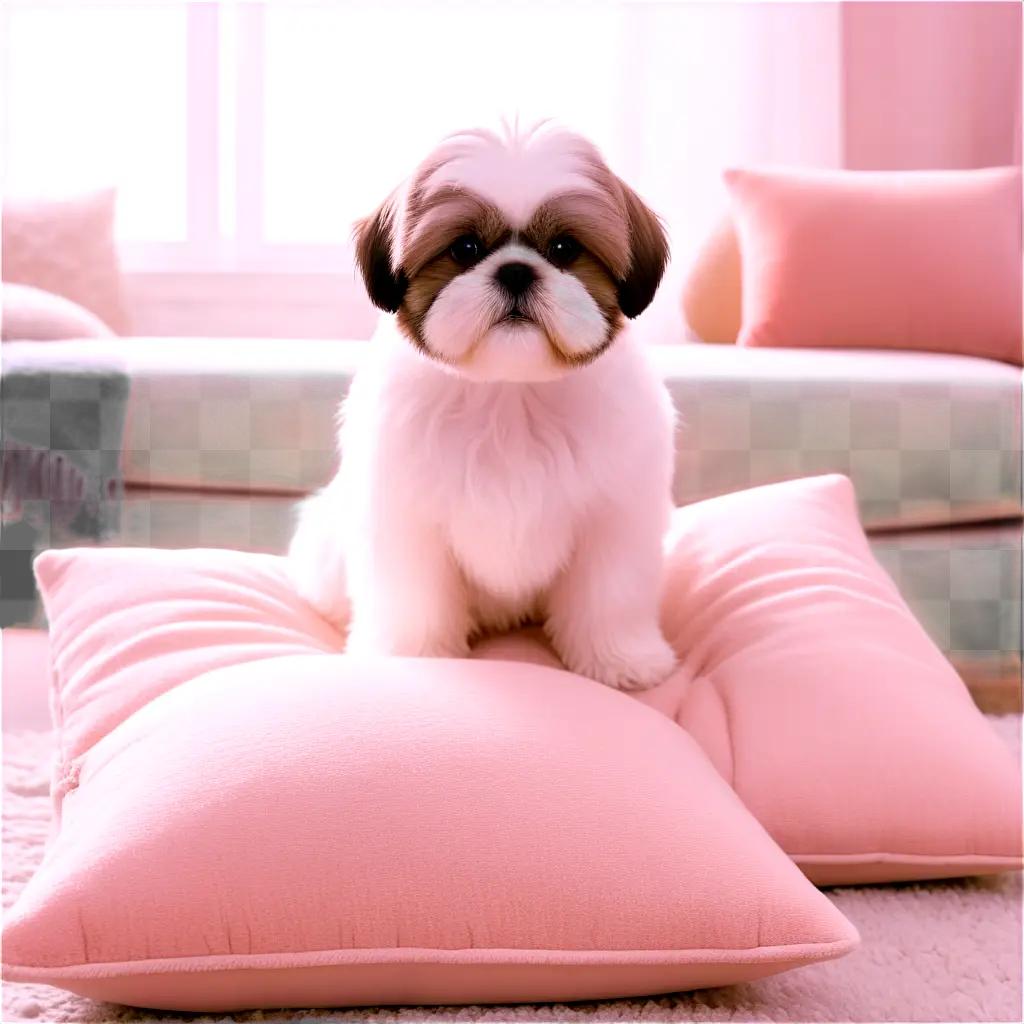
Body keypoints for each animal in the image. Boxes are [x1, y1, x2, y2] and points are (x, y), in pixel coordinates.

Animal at [286, 123, 679, 692]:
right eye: (465, 248)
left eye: (564, 248)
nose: (515, 271)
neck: (509, 392)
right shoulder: (406, 515)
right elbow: (414, 595)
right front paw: (412, 656)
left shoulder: (616, 514)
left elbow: (610, 594)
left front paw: (620, 659)